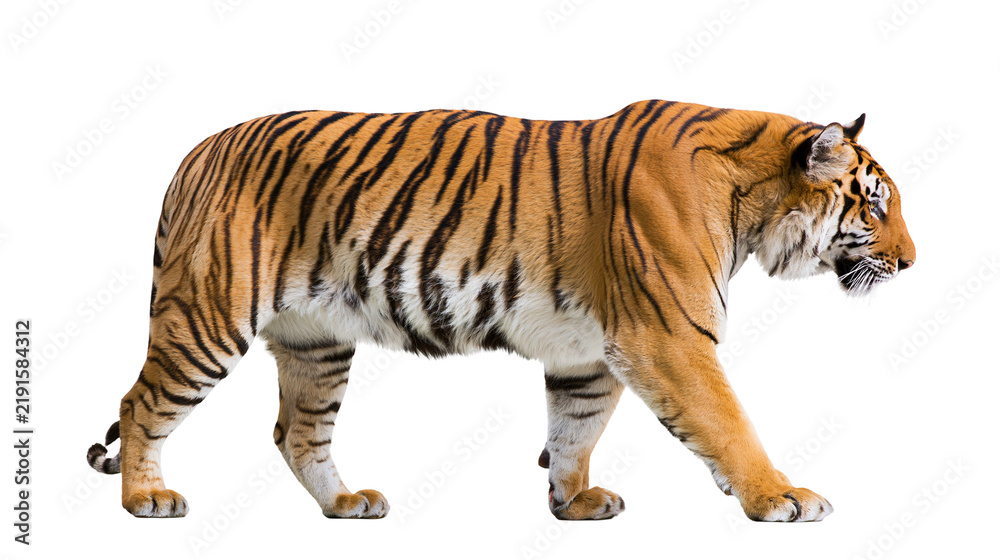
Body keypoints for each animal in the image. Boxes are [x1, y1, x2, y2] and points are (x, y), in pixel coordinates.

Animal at [86, 99, 915, 521]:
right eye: (875, 208)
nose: (911, 263)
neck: (752, 207)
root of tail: (195, 152)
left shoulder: (590, 350)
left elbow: (576, 427)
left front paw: (573, 501)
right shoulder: (670, 338)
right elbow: (728, 423)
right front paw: (780, 496)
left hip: (317, 342)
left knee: (296, 432)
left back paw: (347, 502)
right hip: (207, 319)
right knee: (139, 404)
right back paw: (147, 498)